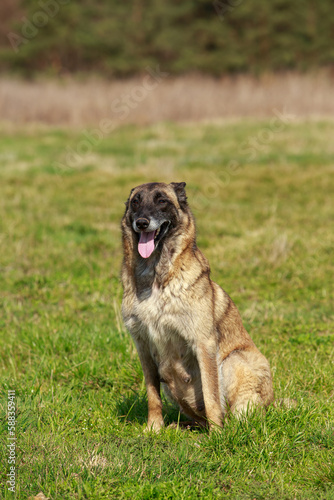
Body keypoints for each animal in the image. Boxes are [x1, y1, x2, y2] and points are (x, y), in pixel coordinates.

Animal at [121, 182, 272, 432]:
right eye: (135, 202)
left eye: (162, 201)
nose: (141, 222)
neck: (156, 277)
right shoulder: (143, 347)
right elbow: (153, 396)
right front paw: (154, 428)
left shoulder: (203, 344)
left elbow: (211, 396)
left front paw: (217, 434)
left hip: (233, 361)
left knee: (236, 416)